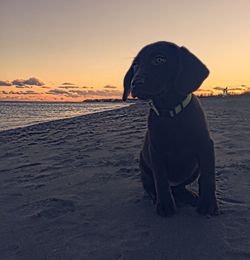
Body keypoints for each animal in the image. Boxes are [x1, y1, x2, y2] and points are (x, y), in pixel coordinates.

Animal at [123, 42, 219, 217]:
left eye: (159, 59)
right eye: (135, 66)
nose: (135, 82)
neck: (170, 112)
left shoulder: (206, 146)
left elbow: (208, 177)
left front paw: (208, 204)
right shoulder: (156, 151)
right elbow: (161, 180)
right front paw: (165, 205)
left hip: (193, 169)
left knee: (180, 187)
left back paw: (188, 195)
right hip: (144, 169)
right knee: (153, 186)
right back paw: (158, 198)